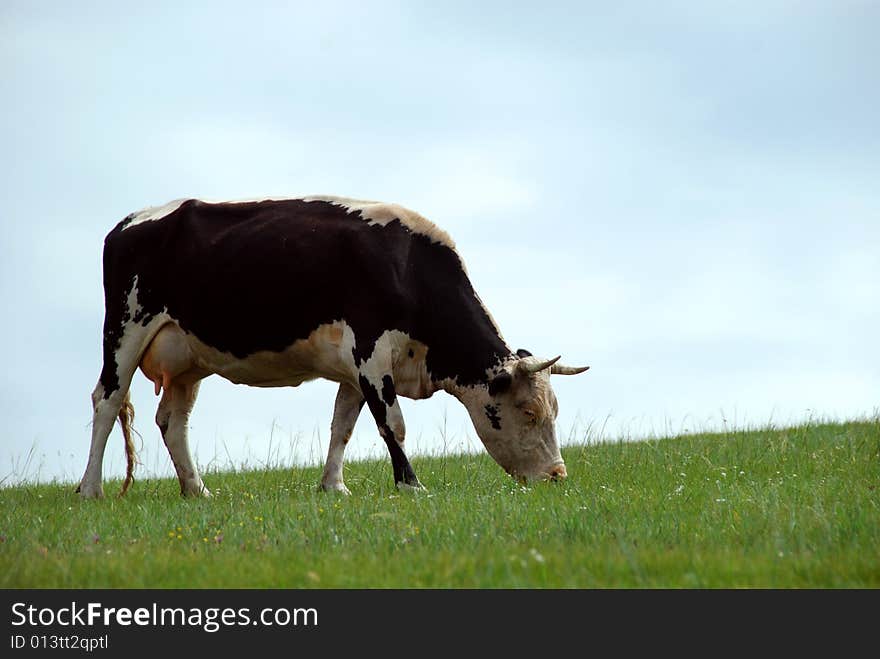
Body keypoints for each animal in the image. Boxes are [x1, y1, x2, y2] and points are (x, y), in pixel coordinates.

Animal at [79, 199, 588, 498]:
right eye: (528, 412)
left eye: (555, 409)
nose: (558, 476)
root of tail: (128, 223)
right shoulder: (371, 353)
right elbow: (392, 425)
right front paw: (411, 486)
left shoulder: (354, 369)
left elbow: (343, 427)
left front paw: (333, 487)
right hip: (124, 332)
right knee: (106, 401)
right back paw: (91, 490)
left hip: (187, 359)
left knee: (173, 421)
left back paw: (197, 490)